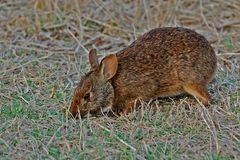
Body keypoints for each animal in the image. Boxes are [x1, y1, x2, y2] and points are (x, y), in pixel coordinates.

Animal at [69, 27, 218, 117]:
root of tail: (212, 59)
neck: (113, 85)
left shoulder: (141, 90)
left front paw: (123, 113)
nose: (72, 112)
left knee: (207, 99)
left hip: (190, 81)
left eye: (87, 96)